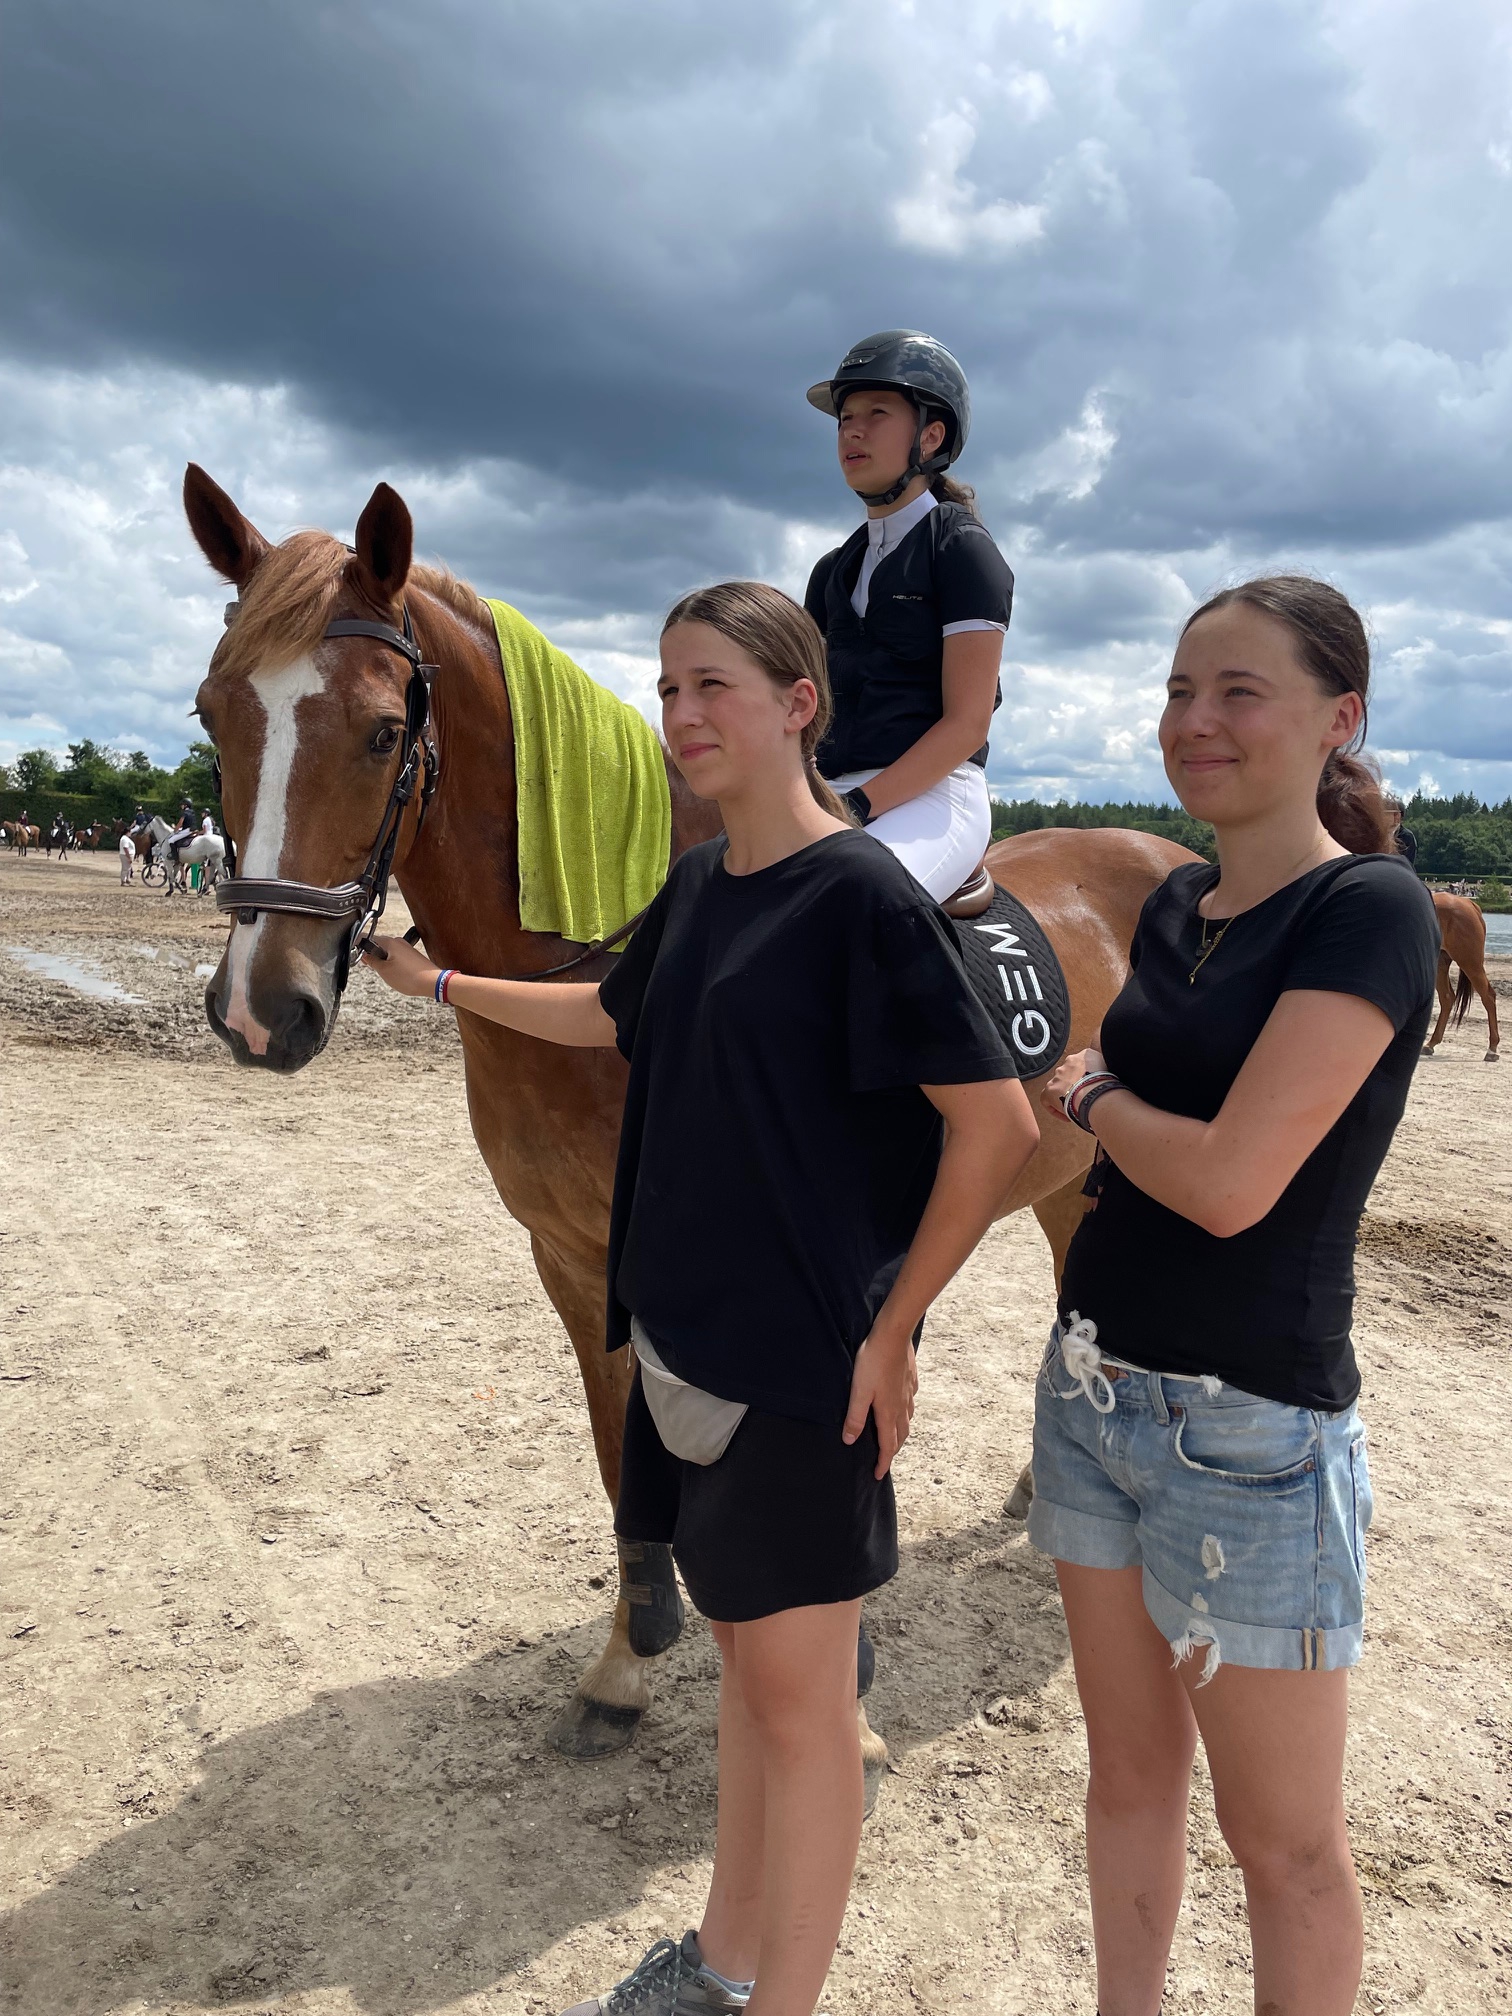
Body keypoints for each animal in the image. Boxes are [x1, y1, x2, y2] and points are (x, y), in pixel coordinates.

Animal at [180, 467, 1193, 1766]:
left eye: (380, 730)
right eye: (215, 718)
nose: (262, 1015)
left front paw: (841, 1702)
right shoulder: (574, 1259)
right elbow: (623, 1458)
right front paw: (626, 1664)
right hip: (1072, 1174)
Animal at [1435, 891, 1507, 1064]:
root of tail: (1470, 904)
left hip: (1470, 962)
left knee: (1488, 997)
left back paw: (1492, 1049)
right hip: (1441, 963)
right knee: (1447, 998)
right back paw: (1430, 1043)